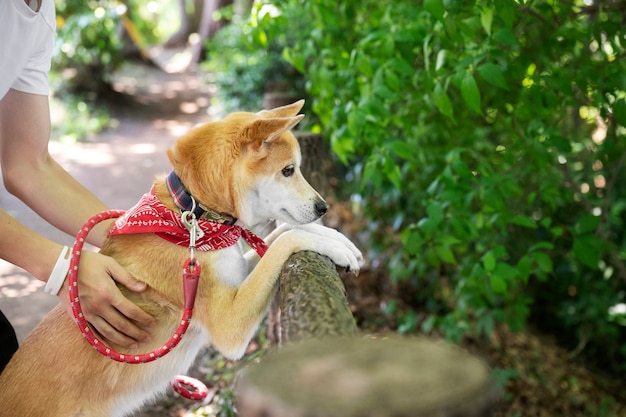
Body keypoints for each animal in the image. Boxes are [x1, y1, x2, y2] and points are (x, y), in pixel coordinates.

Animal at [0, 99, 360, 414]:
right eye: (288, 171)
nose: (323, 207)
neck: (193, 217)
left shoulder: (236, 273)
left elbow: (276, 236)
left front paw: (338, 239)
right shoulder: (229, 325)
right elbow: (286, 239)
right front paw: (335, 245)